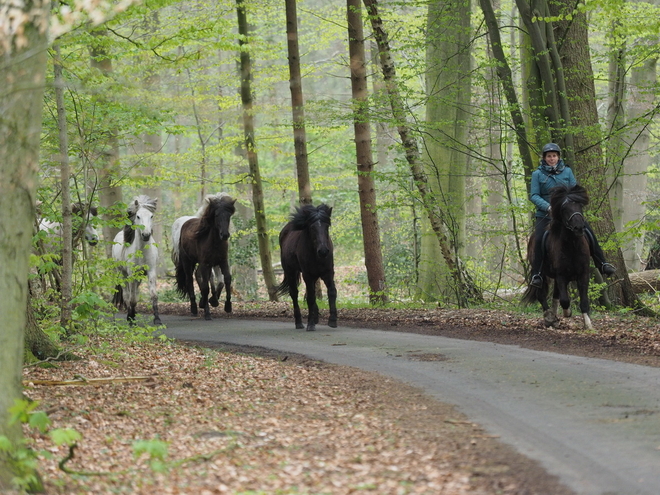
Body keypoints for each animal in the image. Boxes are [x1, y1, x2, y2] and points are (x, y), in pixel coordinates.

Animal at [112, 196, 161, 328]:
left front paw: (157, 319)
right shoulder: (132, 275)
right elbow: (132, 298)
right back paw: (130, 316)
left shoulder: (151, 272)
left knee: (135, 294)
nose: (146, 235)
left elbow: (153, 295)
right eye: (138, 216)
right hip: (122, 274)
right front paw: (130, 319)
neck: (142, 252)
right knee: (127, 295)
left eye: (151, 216)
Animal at [175, 194, 237, 322]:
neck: (213, 242)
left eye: (229, 215)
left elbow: (227, 279)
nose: (225, 235)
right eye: (216, 215)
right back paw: (194, 308)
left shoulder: (222, 261)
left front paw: (227, 306)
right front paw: (208, 313)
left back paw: (204, 302)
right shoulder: (205, 264)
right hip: (188, 262)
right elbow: (205, 287)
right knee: (190, 280)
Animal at [274, 203, 338, 336]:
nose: (323, 251)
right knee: (294, 294)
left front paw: (333, 320)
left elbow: (332, 292)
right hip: (291, 272)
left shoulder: (328, 273)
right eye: (312, 228)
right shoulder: (307, 275)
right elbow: (310, 298)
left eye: (327, 226)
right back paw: (299, 322)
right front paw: (310, 324)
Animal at [524, 184, 596, 332]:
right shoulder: (561, 275)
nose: (579, 227)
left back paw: (554, 316)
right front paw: (567, 313)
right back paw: (549, 318)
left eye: (580, 205)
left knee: (555, 295)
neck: (572, 245)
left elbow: (583, 301)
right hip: (541, 273)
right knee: (542, 295)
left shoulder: (583, 274)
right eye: (564, 209)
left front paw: (588, 324)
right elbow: (565, 300)